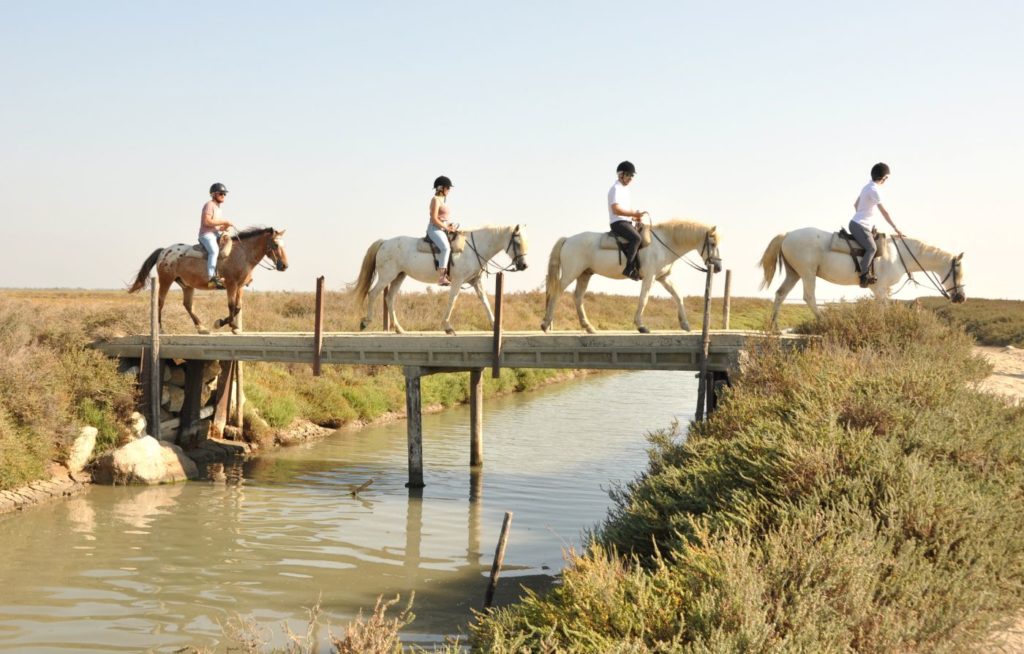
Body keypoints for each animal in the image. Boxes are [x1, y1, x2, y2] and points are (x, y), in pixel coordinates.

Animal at [128, 227, 289, 334]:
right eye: (275, 245)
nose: (284, 266)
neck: (242, 254)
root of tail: (164, 251)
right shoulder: (231, 285)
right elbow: (231, 306)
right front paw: (226, 325)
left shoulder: (240, 287)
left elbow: (238, 307)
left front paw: (228, 325)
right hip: (165, 280)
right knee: (160, 303)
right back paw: (161, 329)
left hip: (186, 285)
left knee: (187, 305)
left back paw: (201, 327)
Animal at [353, 224, 528, 335]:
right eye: (517, 242)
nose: (524, 265)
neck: (474, 248)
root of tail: (384, 242)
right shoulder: (458, 281)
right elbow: (453, 299)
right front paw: (447, 327)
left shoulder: (475, 282)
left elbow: (484, 300)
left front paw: (495, 326)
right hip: (387, 276)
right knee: (373, 293)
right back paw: (365, 322)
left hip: (399, 276)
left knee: (389, 298)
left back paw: (399, 329)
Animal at [540, 220, 722, 334]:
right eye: (712, 244)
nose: (719, 267)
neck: (664, 244)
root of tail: (568, 239)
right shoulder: (650, 277)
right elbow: (644, 299)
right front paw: (641, 326)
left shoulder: (663, 278)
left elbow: (678, 296)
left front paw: (685, 324)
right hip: (571, 273)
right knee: (556, 293)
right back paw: (545, 324)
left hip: (585, 274)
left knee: (578, 297)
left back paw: (589, 327)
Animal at [759, 227, 966, 329]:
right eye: (958, 272)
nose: (961, 298)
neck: (899, 254)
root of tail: (787, 235)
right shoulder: (880, 288)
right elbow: (883, 309)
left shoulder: (885, 289)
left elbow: (882, 308)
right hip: (807, 273)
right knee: (808, 297)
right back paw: (824, 322)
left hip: (794, 273)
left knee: (780, 294)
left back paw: (774, 326)